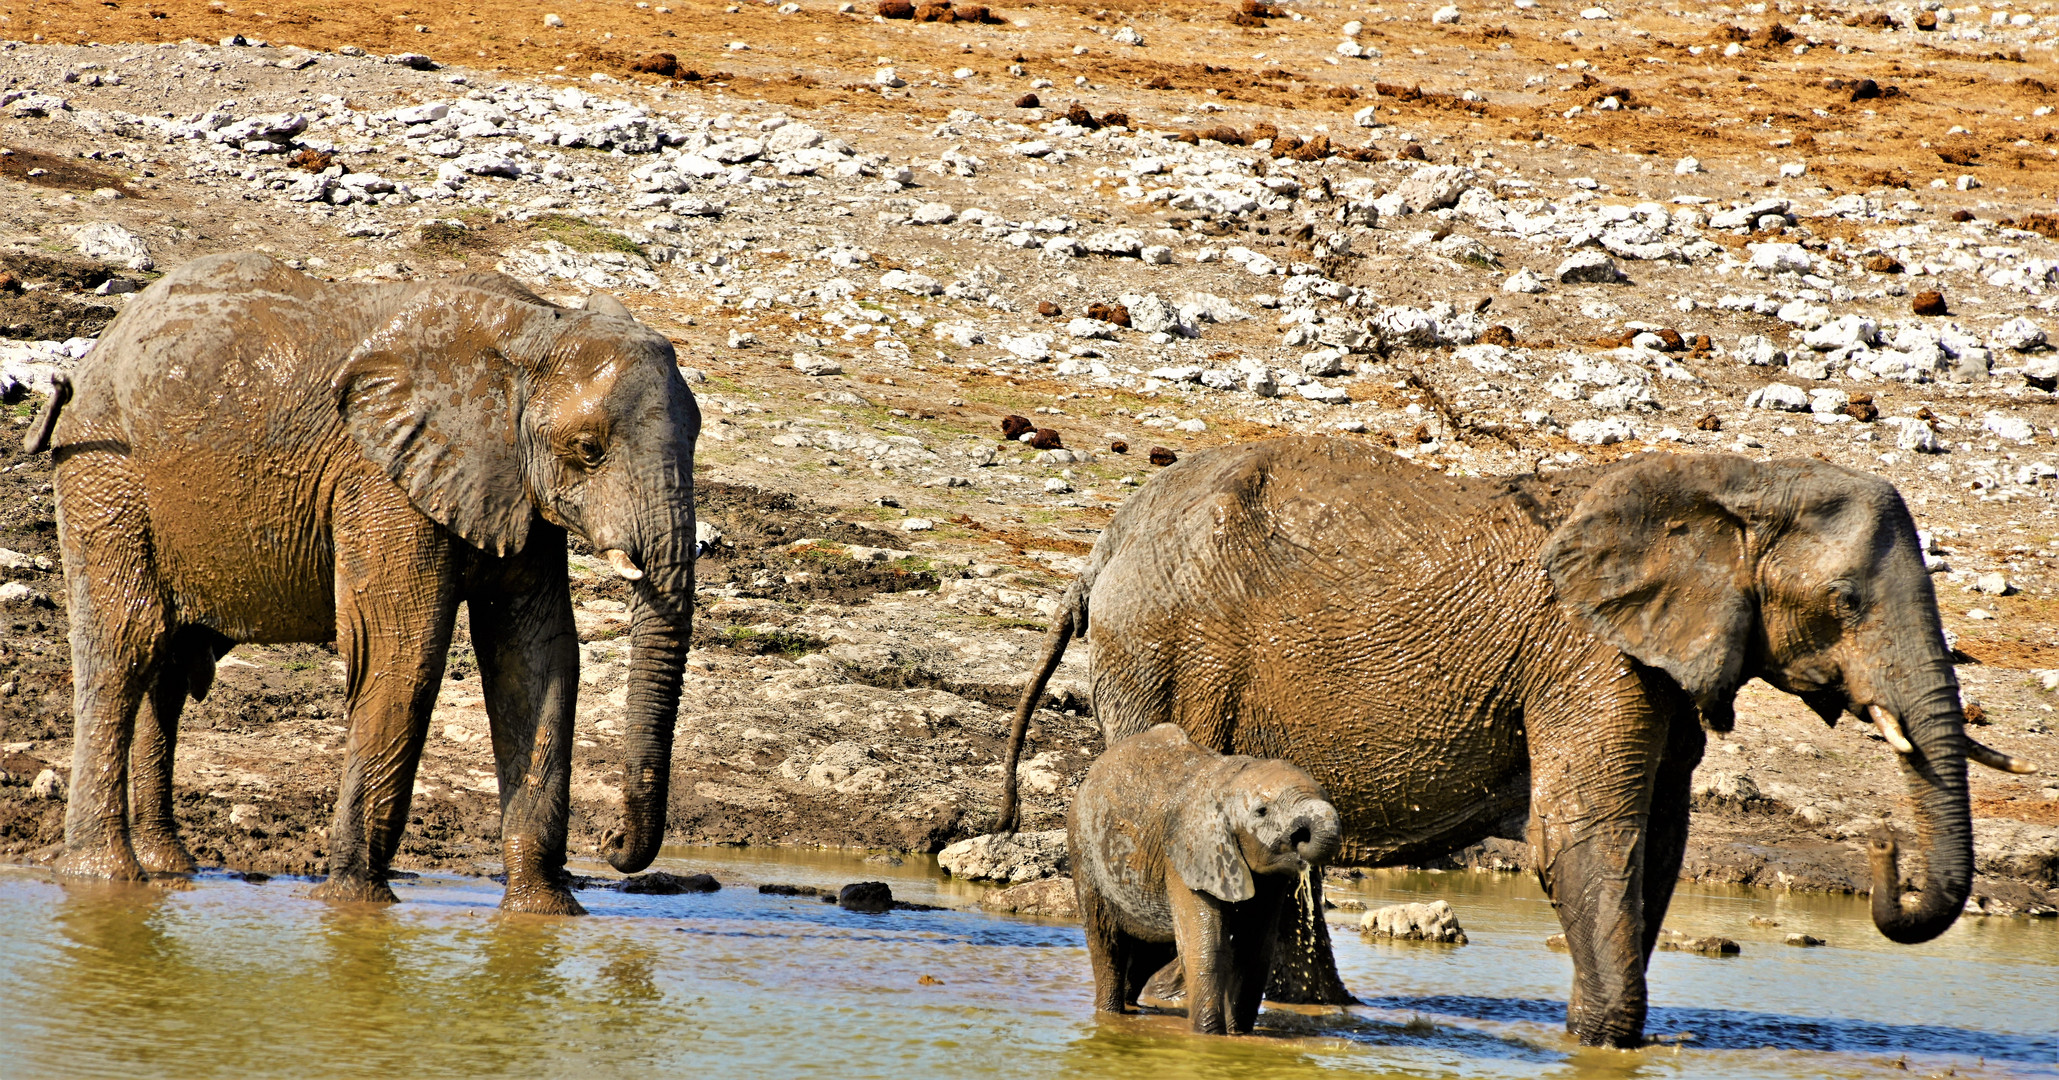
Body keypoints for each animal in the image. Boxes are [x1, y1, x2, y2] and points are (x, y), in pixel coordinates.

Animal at [28, 250, 700, 909]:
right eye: (588, 449)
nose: (611, 844)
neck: (534, 330)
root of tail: (97, 351)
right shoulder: (383, 481)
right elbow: (401, 654)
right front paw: (356, 901)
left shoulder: (514, 486)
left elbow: (536, 659)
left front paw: (547, 914)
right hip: (106, 476)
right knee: (126, 648)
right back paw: (104, 877)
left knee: (166, 670)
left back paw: (170, 870)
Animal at [1070, 720, 1342, 1032]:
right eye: (1262, 811)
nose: (1302, 837)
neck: (1229, 782)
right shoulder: (1188, 854)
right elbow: (1206, 950)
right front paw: (1209, 1036)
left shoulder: (1267, 877)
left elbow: (1254, 953)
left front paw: (1239, 1035)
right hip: (1084, 848)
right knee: (1106, 942)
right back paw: (1110, 1013)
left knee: (1153, 952)